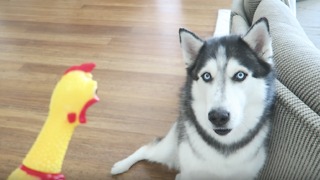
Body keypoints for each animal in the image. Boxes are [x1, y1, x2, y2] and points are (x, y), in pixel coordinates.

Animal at [110, 17, 276, 180]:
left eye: (240, 75)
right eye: (206, 76)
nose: (218, 117)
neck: (224, 144)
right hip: (168, 150)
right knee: (146, 149)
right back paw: (121, 166)